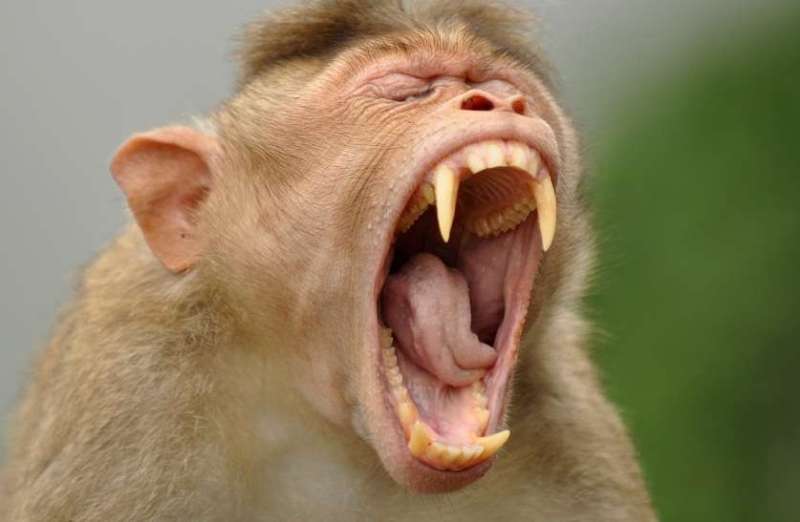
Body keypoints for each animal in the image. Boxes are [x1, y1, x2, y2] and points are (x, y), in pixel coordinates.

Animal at [0, 1, 657, 520]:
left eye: (498, 83)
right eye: (408, 90)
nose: (500, 102)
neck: (340, 440)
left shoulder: (571, 434)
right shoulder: (127, 396)